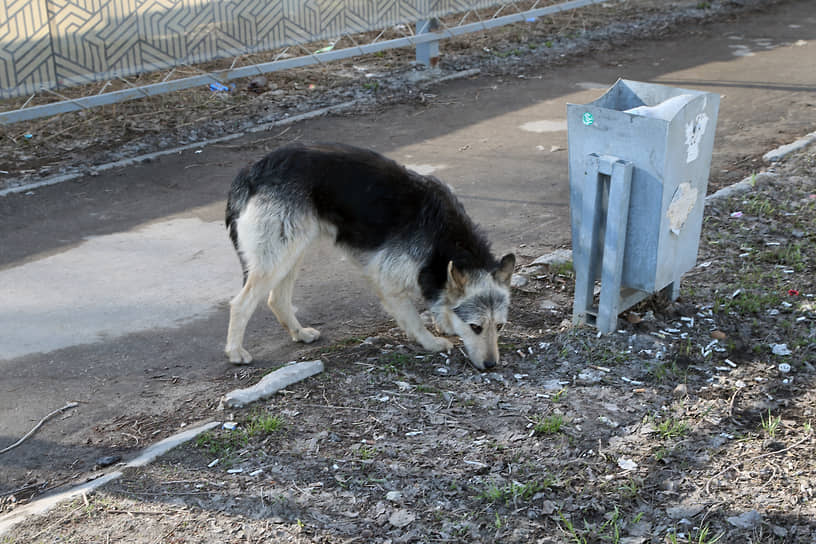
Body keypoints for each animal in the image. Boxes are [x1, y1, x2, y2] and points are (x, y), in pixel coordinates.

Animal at [226, 142, 512, 372]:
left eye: (499, 327)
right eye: (476, 327)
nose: (491, 365)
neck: (442, 236)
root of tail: (253, 170)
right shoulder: (388, 282)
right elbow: (414, 319)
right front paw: (431, 342)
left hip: (292, 252)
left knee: (277, 299)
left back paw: (299, 333)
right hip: (277, 257)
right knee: (241, 303)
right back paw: (235, 352)